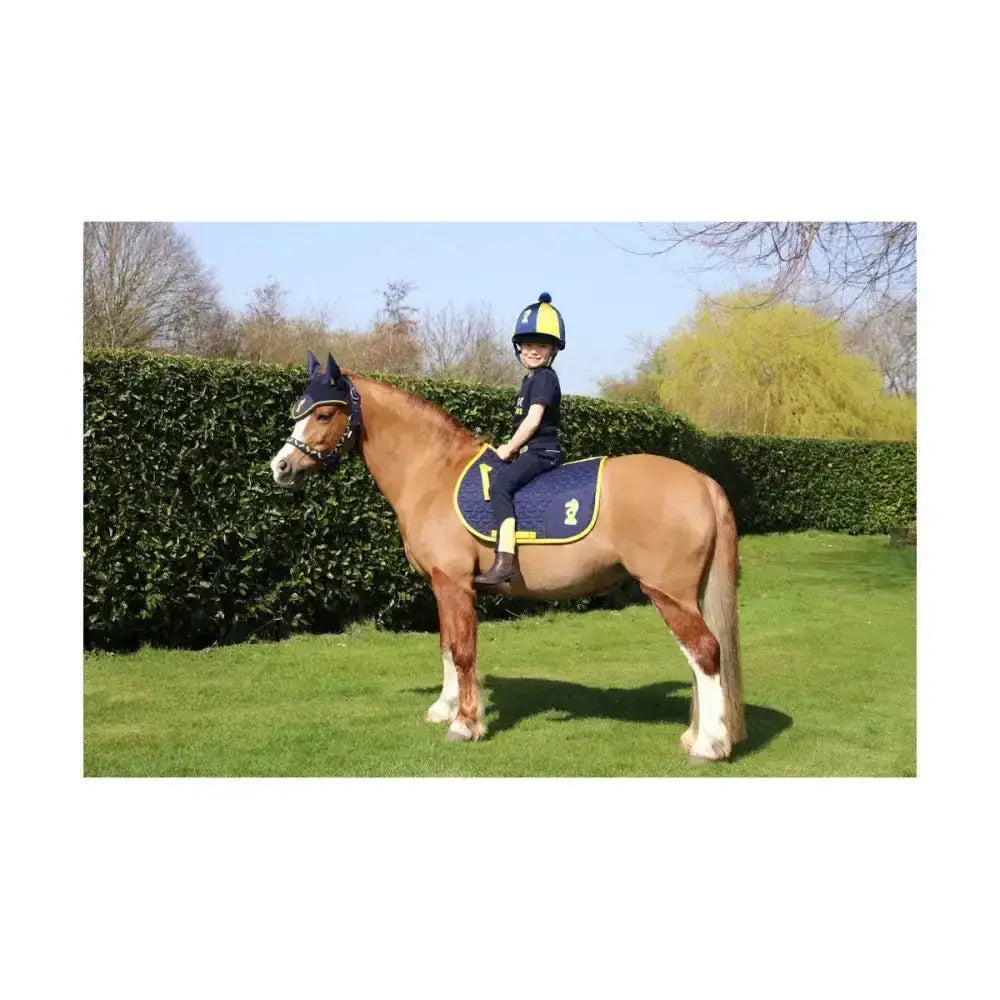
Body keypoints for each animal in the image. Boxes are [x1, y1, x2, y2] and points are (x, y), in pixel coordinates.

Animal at [269, 354, 746, 762]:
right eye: (299, 412)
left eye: (323, 415)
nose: (280, 467)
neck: (433, 476)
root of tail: (701, 481)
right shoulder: (441, 586)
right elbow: (446, 645)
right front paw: (444, 709)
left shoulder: (454, 583)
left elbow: (463, 651)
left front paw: (465, 724)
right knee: (699, 657)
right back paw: (696, 735)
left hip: (669, 593)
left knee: (705, 652)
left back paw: (709, 745)